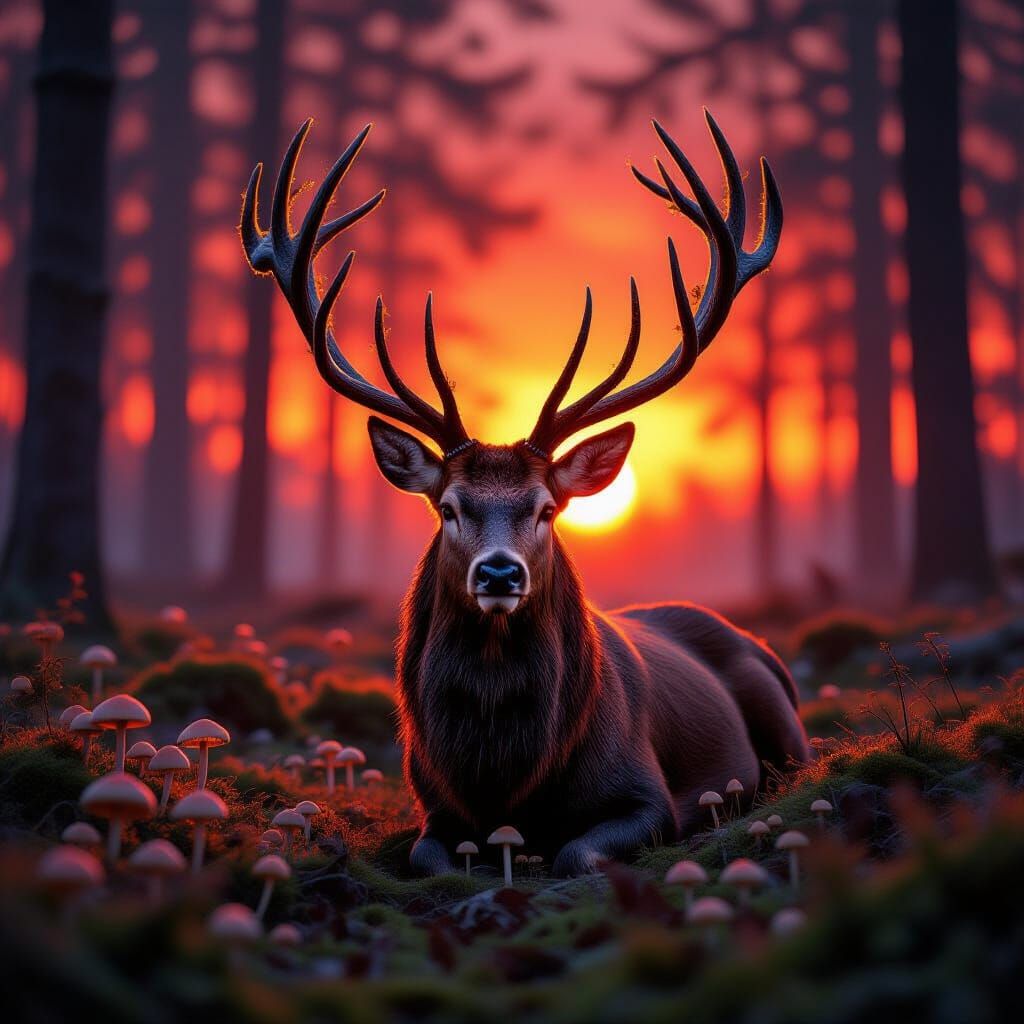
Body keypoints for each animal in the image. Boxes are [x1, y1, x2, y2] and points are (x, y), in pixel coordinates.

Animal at [241, 112, 809, 877]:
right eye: (449, 507)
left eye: (546, 508)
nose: (500, 573)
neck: (503, 783)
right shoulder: (430, 806)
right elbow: (429, 857)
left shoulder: (646, 793)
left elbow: (577, 854)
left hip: (787, 726)